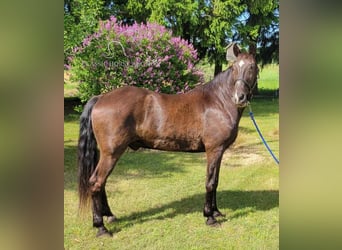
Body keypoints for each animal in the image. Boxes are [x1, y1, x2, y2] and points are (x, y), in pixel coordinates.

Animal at [78, 43, 260, 236]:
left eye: (252, 67)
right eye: (234, 68)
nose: (239, 97)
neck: (219, 102)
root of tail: (101, 97)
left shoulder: (219, 152)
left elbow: (216, 181)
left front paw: (216, 212)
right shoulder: (214, 150)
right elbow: (210, 183)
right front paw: (209, 217)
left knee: (101, 183)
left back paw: (109, 215)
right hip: (111, 153)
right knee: (96, 182)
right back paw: (101, 227)